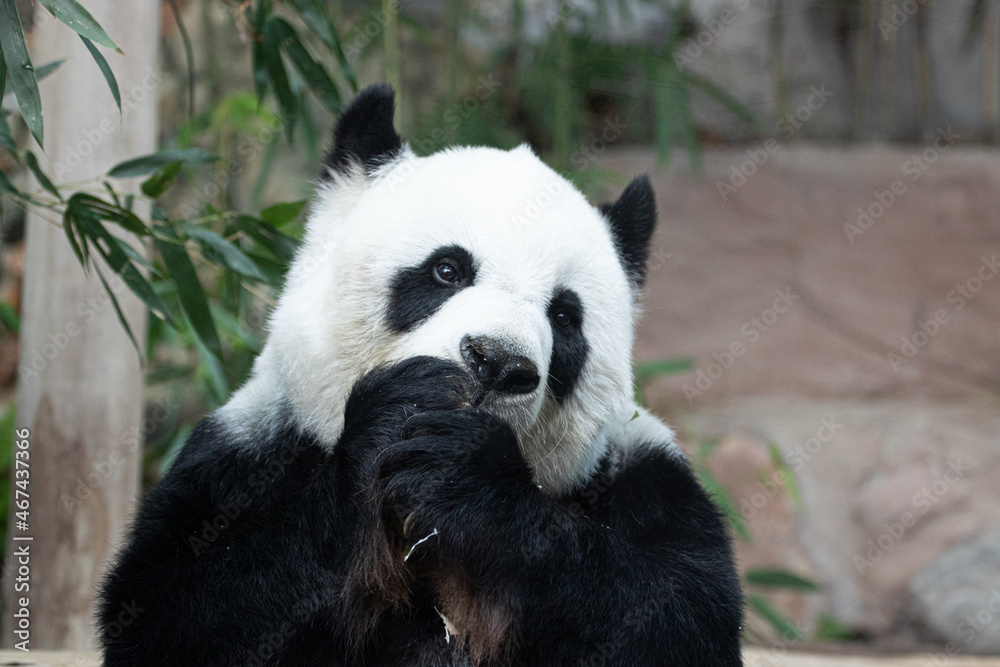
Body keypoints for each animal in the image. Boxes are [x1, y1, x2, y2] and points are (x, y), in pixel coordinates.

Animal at [98, 83, 743, 666]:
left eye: (564, 316)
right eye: (447, 270)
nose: (497, 362)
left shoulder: (648, 484)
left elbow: (668, 620)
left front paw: (468, 472)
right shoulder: (244, 459)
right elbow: (178, 611)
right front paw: (401, 409)